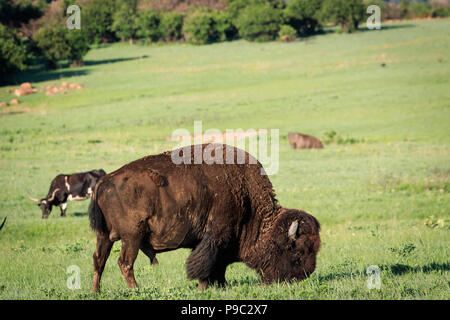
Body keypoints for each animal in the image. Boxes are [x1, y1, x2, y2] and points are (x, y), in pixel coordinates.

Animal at [89, 144, 320, 292]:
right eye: (298, 251)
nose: (304, 276)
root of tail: (104, 180)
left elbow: (217, 265)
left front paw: (220, 286)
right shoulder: (217, 235)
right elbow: (206, 263)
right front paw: (204, 287)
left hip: (105, 237)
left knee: (99, 261)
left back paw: (96, 291)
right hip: (132, 237)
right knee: (124, 263)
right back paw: (136, 290)